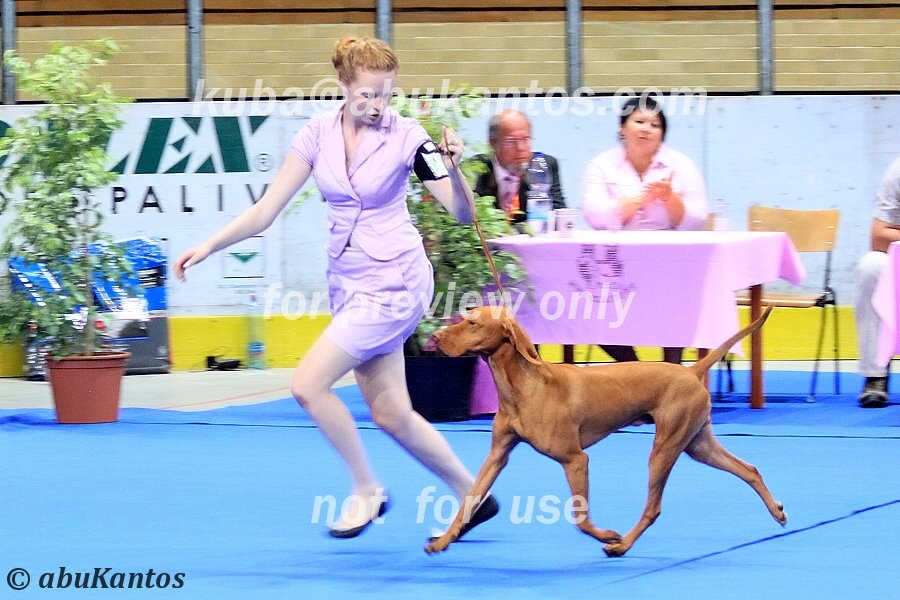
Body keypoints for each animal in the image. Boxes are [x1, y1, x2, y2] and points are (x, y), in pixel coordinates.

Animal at [424, 306, 786, 557]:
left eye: (473, 323)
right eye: (462, 318)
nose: (435, 338)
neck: (524, 385)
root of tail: (691, 371)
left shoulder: (575, 460)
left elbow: (581, 519)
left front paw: (608, 535)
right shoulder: (497, 456)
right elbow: (468, 501)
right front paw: (442, 542)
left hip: (665, 449)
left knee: (653, 508)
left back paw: (622, 546)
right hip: (697, 444)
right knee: (749, 469)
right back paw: (777, 512)